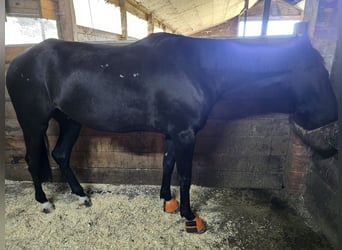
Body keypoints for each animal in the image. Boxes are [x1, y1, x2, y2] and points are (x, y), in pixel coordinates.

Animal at [5, 32, 336, 232]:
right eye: (317, 69)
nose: (330, 115)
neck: (199, 68)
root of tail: (19, 62)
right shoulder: (186, 134)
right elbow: (186, 175)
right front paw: (189, 217)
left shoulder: (173, 133)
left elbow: (167, 165)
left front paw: (167, 201)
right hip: (33, 122)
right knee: (33, 160)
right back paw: (44, 201)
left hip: (70, 120)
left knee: (60, 154)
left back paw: (81, 196)